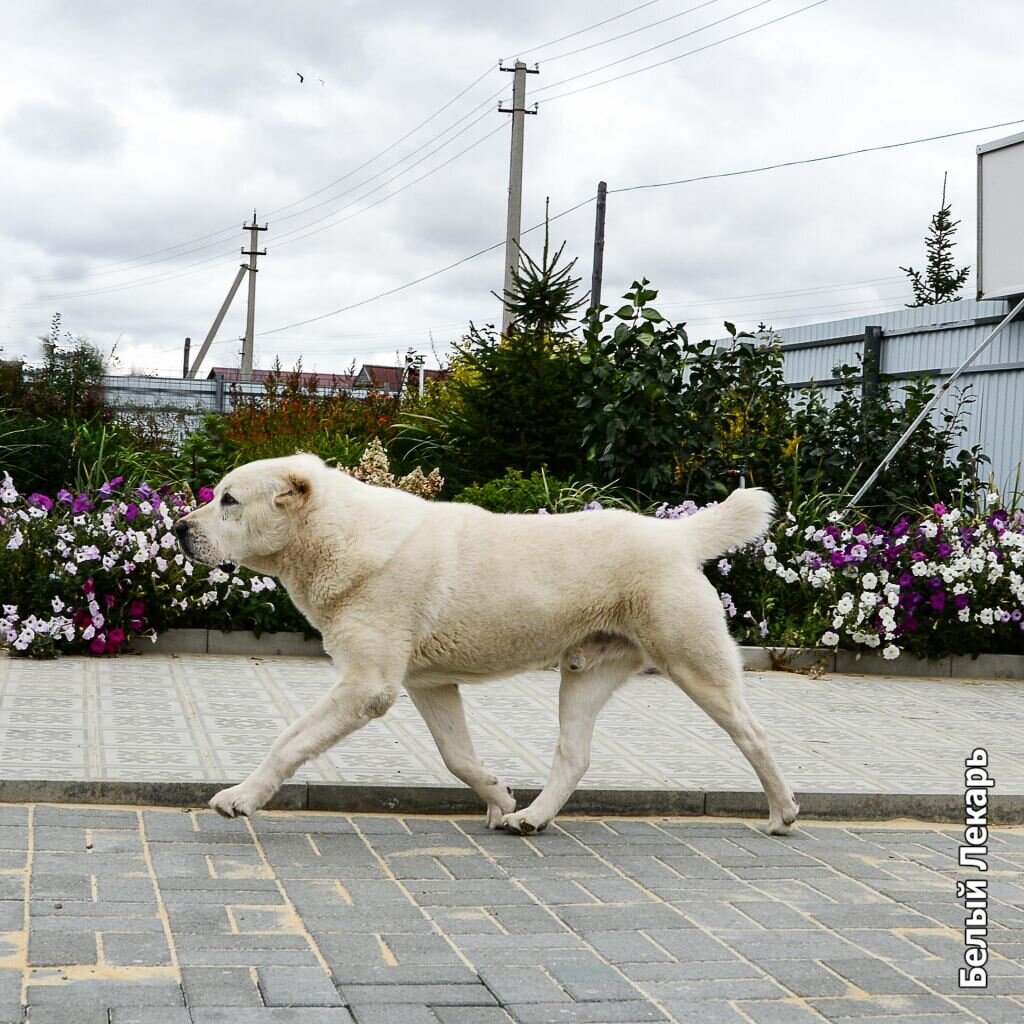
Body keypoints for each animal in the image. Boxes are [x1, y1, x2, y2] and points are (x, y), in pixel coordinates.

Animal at [176, 458, 798, 839]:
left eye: (229, 500)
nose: (180, 528)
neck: (335, 535)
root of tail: (674, 533)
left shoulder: (366, 686)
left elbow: (289, 741)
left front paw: (243, 796)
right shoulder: (429, 685)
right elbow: (458, 757)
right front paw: (499, 798)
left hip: (695, 666)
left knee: (754, 734)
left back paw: (783, 812)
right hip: (584, 675)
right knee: (574, 756)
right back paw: (532, 818)